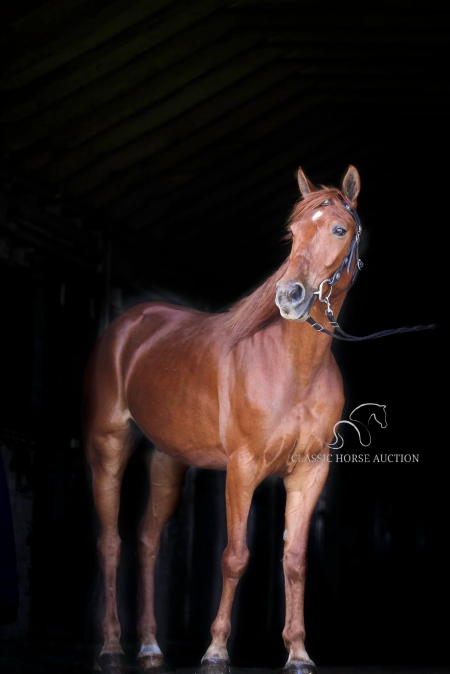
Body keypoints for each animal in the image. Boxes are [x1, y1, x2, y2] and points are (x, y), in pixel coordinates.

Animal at [82, 164, 363, 674]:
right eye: (293, 232)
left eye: (339, 229)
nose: (289, 295)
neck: (294, 368)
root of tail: (125, 327)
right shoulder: (242, 469)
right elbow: (235, 556)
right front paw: (214, 651)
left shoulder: (310, 472)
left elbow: (295, 560)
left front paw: (298, 653)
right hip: (108, 448)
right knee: (110, 542)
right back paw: (111, 648)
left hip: (167, 462)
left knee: (147, 541)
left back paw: (150, 648)